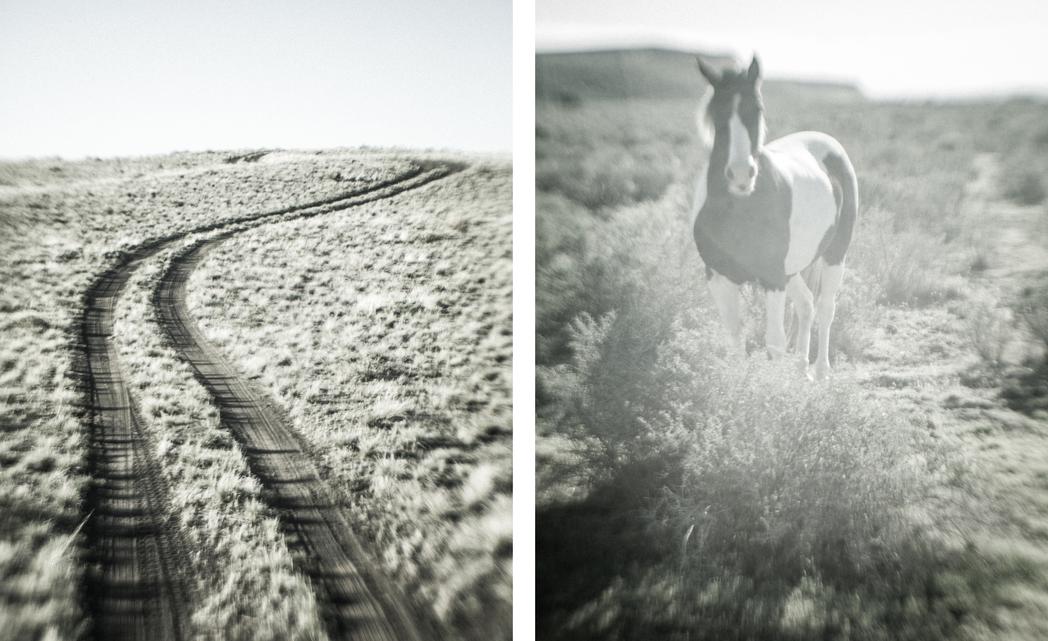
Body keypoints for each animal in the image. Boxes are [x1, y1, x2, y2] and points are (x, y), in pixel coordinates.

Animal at [690, 55, 857, 380]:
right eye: (717, 111)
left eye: (758, 109)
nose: (741, 174)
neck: (738, 207)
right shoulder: (717, 276)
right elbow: (735, 335)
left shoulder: (772, 278)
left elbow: (774, 342)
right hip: (791, 270)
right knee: (806, 304)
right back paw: (801, 368)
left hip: (835, 254)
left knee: (826, 307)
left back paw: (820, 372)